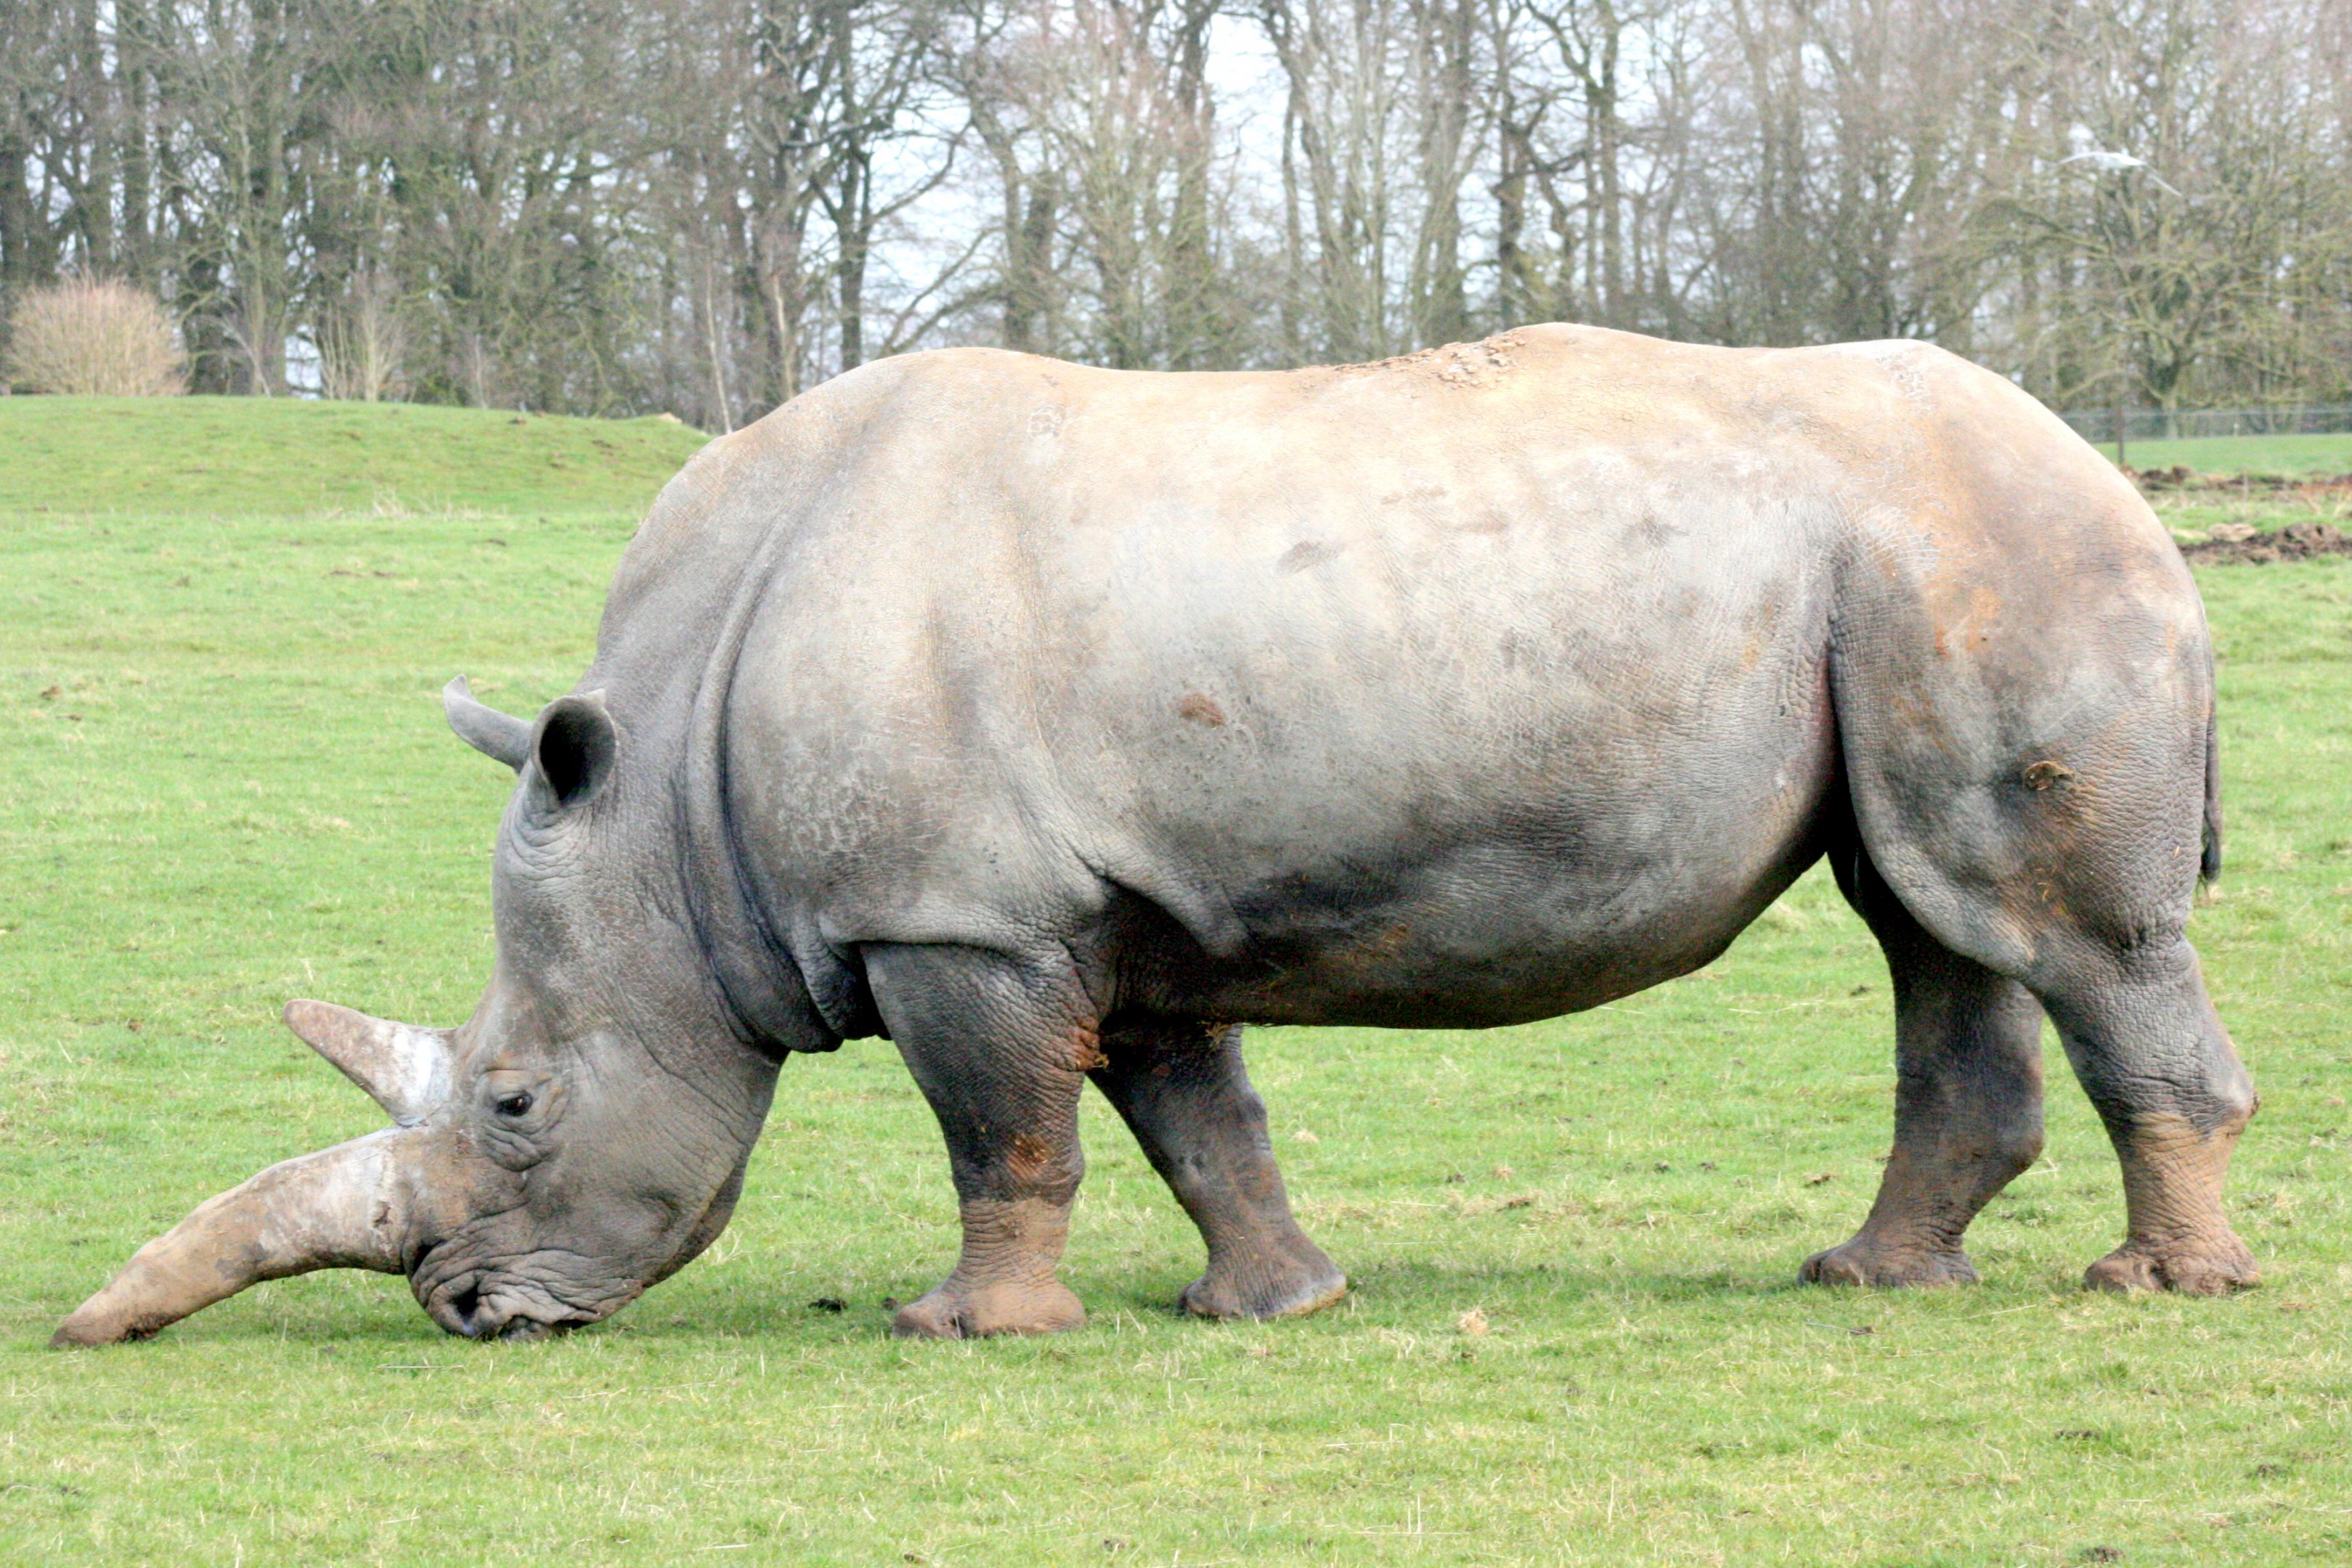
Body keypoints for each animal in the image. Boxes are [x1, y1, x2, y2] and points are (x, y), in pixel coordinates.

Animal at [54, 326, 2259, 1348]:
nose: (459, 1310)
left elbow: (999, 1127)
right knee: (1930, 922)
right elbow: (1191, 1115)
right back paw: (1868, 1281)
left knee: (2052, 933)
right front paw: (1274, 1308)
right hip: (1913, 572)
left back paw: (2154, 1293)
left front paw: (963, 1333)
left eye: (512, 1105)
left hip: (1990, 553)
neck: (664, 803)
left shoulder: (952, 914)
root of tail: (2111, 476)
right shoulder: (1098, 899)